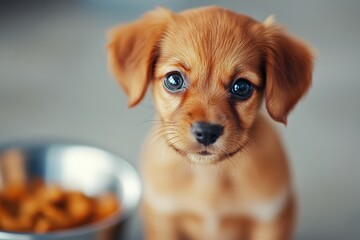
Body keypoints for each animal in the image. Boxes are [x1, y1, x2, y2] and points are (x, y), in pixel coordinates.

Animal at [106, 6, 312, 240]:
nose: (206, 132)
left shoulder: (270, 219)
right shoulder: (163, 219)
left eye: (241, 87)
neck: (207, 175)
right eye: (174, 80)